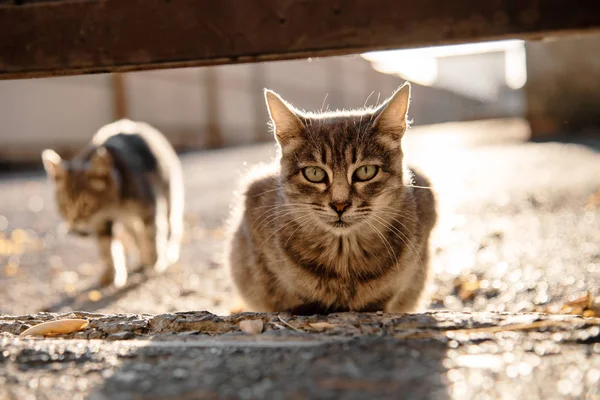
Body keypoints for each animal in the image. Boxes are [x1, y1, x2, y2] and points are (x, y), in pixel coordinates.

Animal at [41, 119, 183, 288]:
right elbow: (107, 249)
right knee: (136, 235)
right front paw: (110, 274)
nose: (76, 228)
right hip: (130, 222)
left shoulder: (149, 206)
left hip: (170, 197)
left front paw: (155, 260)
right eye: (65, 206)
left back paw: (167, 253)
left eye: (86, 205)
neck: (115, 206)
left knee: (171, 227)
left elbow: (152, 235)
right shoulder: (101, 222)